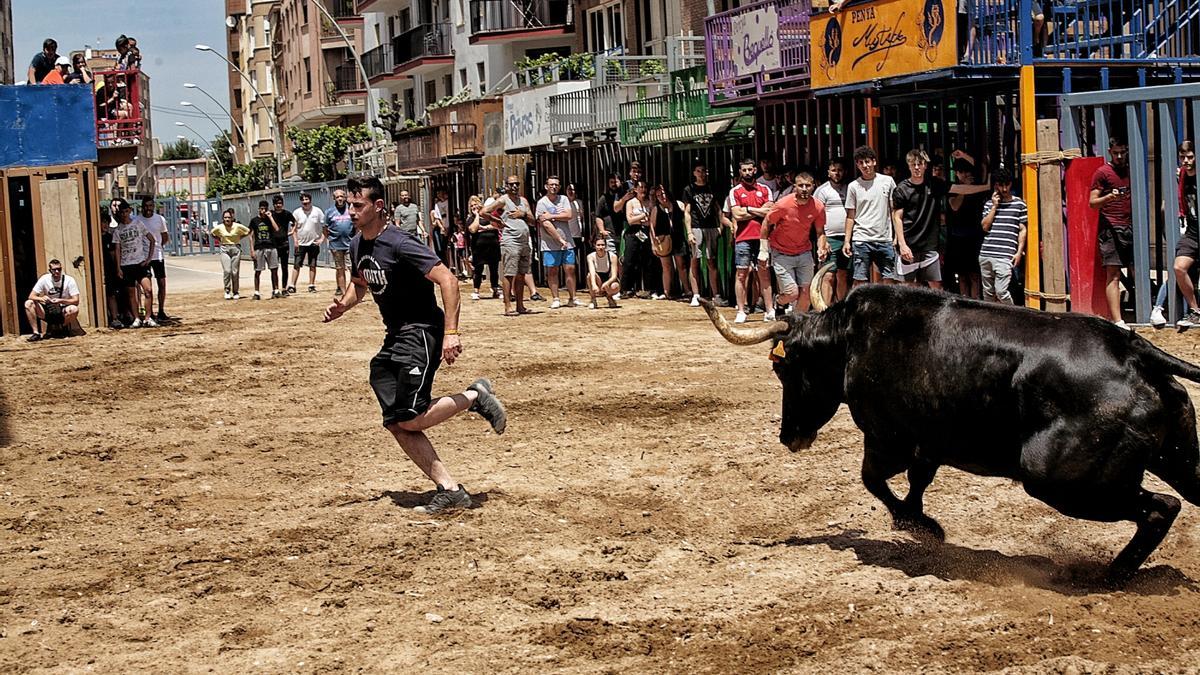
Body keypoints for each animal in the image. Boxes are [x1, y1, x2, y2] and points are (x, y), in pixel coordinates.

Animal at [700, 260, 1200, 581]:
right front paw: (920, 521)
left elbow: (874, 481)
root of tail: (1133, 350)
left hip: (1059, 479)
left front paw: (919, 526)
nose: (790, 436)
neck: (851, 339)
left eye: (783, 369)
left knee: (1162, 507)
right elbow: (916, 482)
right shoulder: (929, 445)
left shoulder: (886, 438)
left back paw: (1111, 574)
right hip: (1177, 458)